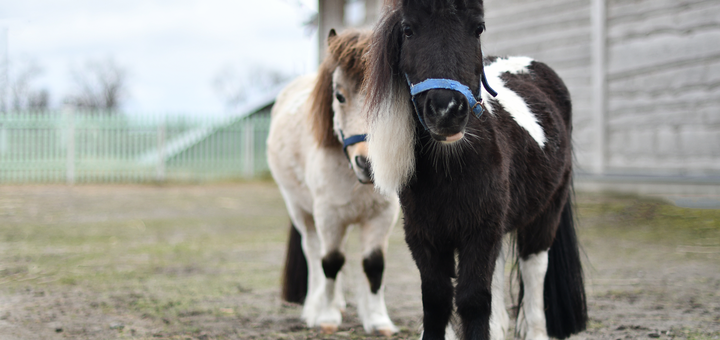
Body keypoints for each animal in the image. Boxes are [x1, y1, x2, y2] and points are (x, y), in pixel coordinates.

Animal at [268, 28, 400, 334]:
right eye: (339, 96)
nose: (368, 164)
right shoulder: (328, 216)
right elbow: (330, 262)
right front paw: (326, 317)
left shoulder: (382, 216)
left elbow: (374, 265)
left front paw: (378, 319)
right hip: (301, 212)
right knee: (314, 253)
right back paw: (314, 307)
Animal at [362, 0, 588, 340]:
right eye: (408, 29)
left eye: (478, 27)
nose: (446, 110)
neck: (451, 166)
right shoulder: (424, 237)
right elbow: (436, 299)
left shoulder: (480, 233)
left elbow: (473, 299)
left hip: (546, 213)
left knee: (534, 273)